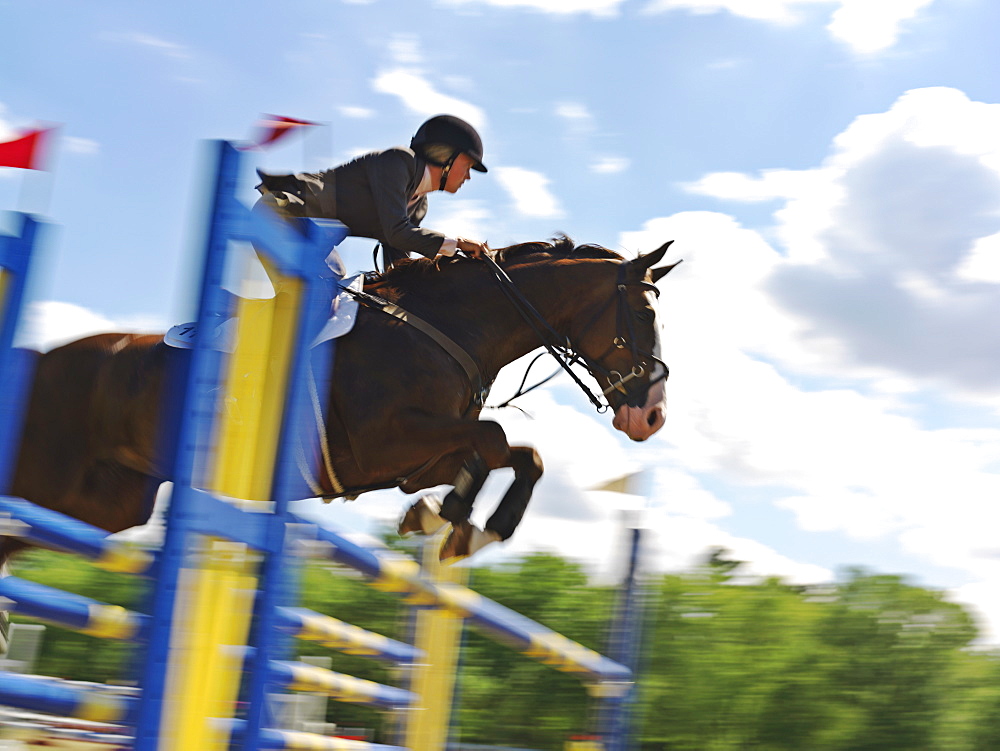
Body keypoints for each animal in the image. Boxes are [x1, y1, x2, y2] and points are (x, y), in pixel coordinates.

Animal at [1, 235, 680, 564]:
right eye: (644, 313)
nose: (652, 417)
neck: (448, 325)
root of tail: (41, 359)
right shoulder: (386, 442)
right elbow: (493, 442)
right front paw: (452, 522)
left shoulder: (414, 459)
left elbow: (521, 456)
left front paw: (449, 525)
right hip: (48, 483)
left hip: (105, 506)